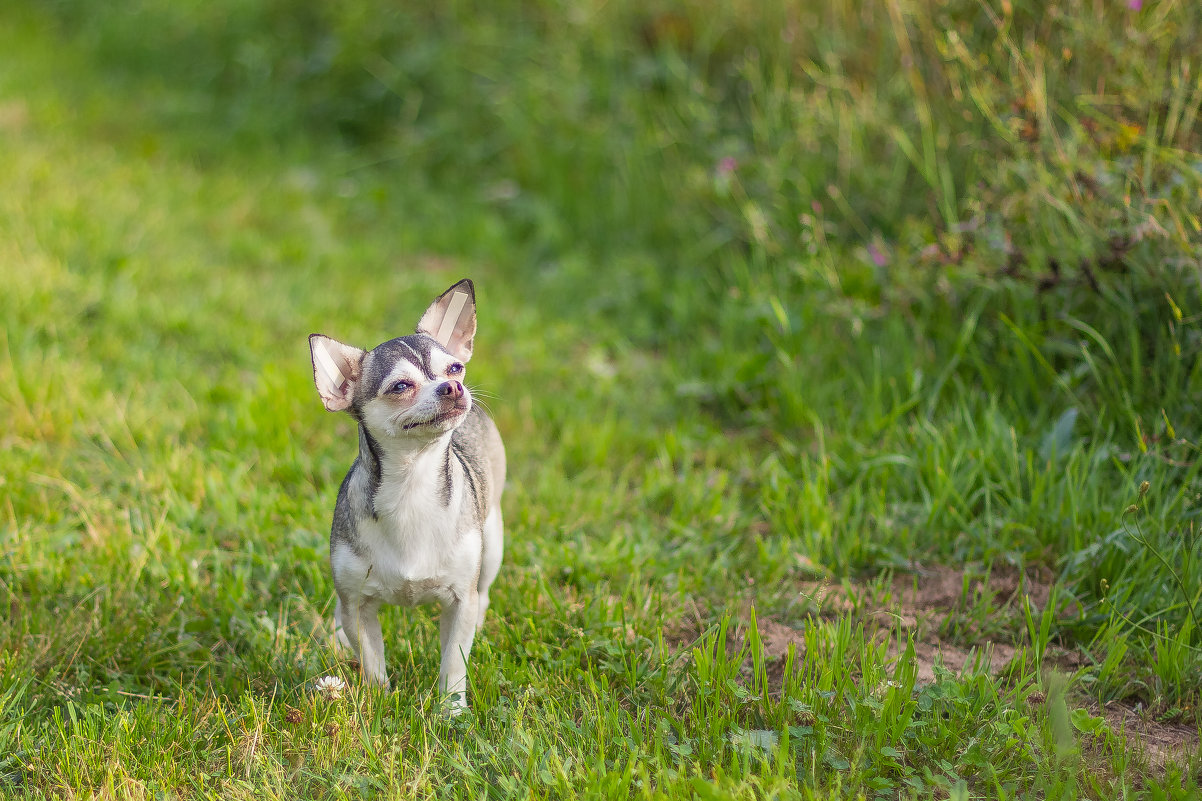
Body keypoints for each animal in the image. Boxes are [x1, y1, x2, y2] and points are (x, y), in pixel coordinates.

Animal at [307, 279, 504, 712]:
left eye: (455, 367)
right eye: (400, 386)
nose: (454, 385)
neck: (413, 483)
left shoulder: (459, 600)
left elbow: (454, 661)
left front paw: (451, 709)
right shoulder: (359, 605)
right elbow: (372, 659)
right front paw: (378, 703)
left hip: (493, 541)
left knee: (483, 594)